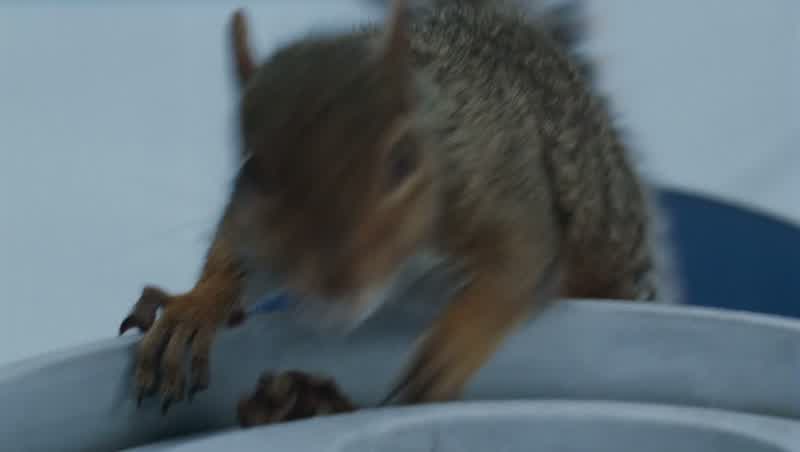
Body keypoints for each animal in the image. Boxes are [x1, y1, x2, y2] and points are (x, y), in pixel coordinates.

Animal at [119, 0, 678, 413]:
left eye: (404, 159)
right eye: (251, 168)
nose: (336, 285)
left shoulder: (499, 182)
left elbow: (517, 262)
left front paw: (454, 344)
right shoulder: (245, 221)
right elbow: (230, 249)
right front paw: (194, 309)